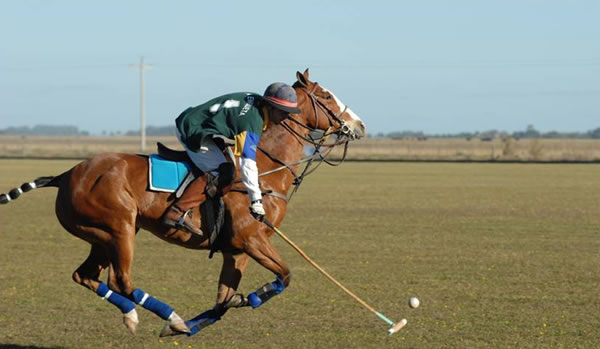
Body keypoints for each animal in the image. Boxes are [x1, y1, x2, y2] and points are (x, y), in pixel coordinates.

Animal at [0, 69, 366, 336]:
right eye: (327, 96)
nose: (359, 125)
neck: (265, 167)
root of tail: (66, 174)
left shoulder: (237, 250)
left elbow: (222, 302)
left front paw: (197, 323)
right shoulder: (252, 239)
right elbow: (286, 276)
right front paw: (242, 300)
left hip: (100, 235)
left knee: (85, 275)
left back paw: (137, 316)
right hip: (119, 228)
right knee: (121, 280)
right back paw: (169, 315)